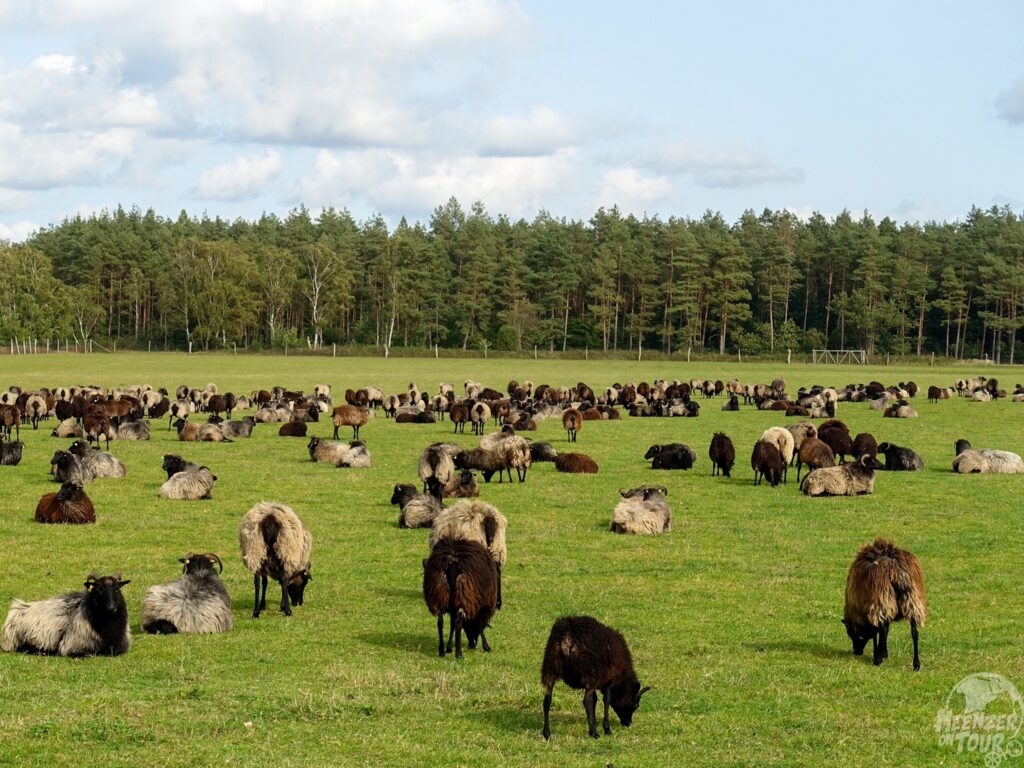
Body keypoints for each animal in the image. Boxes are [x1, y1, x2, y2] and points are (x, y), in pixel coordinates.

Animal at [839, 536, 929, 671]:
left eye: (849, 633)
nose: (857, 652)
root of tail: (896, 568)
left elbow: (876, 631)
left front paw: (879, 655)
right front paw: (884, 653)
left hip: (881, 600)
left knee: (882, 628)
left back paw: (877, 660)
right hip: (912, 602)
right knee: (914, 632)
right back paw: (916, 664)